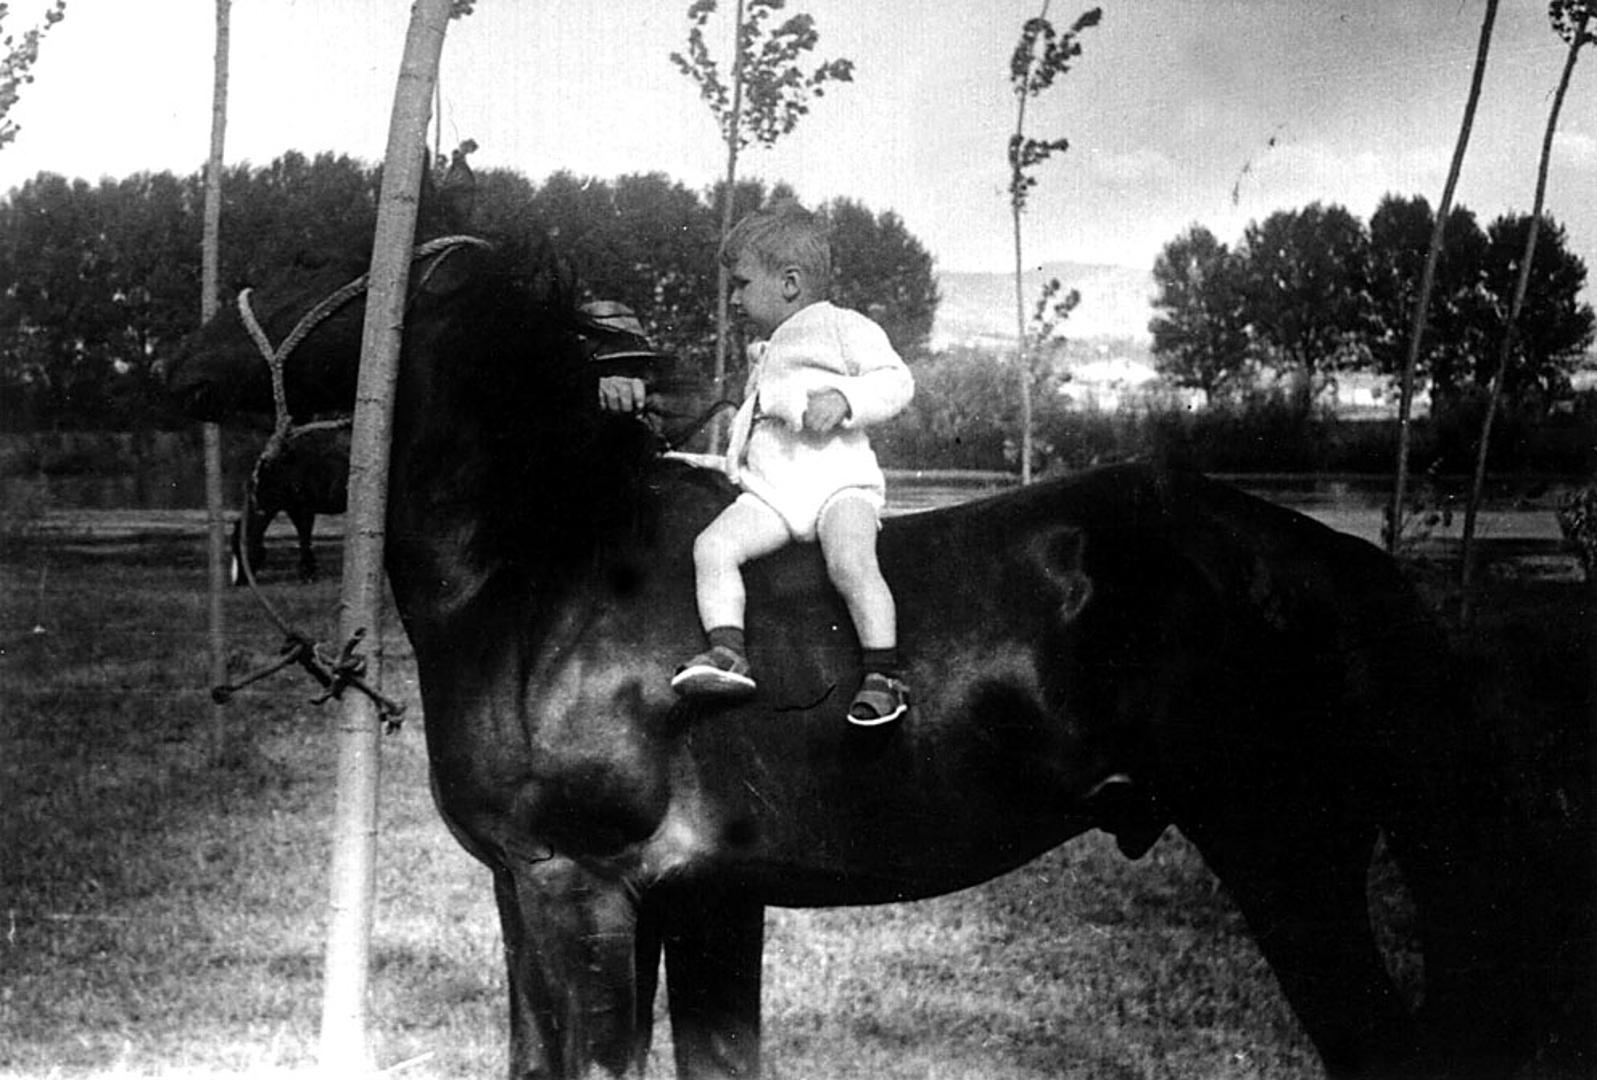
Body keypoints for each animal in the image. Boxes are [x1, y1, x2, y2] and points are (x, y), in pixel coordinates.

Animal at [231, 424, 349, 587]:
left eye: (243, 548)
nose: (238, 582)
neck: (281, 474)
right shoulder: (292, 509)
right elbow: (302, 538)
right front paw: (308, 573)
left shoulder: (305, 509)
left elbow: (305, 540)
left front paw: (308, 576)